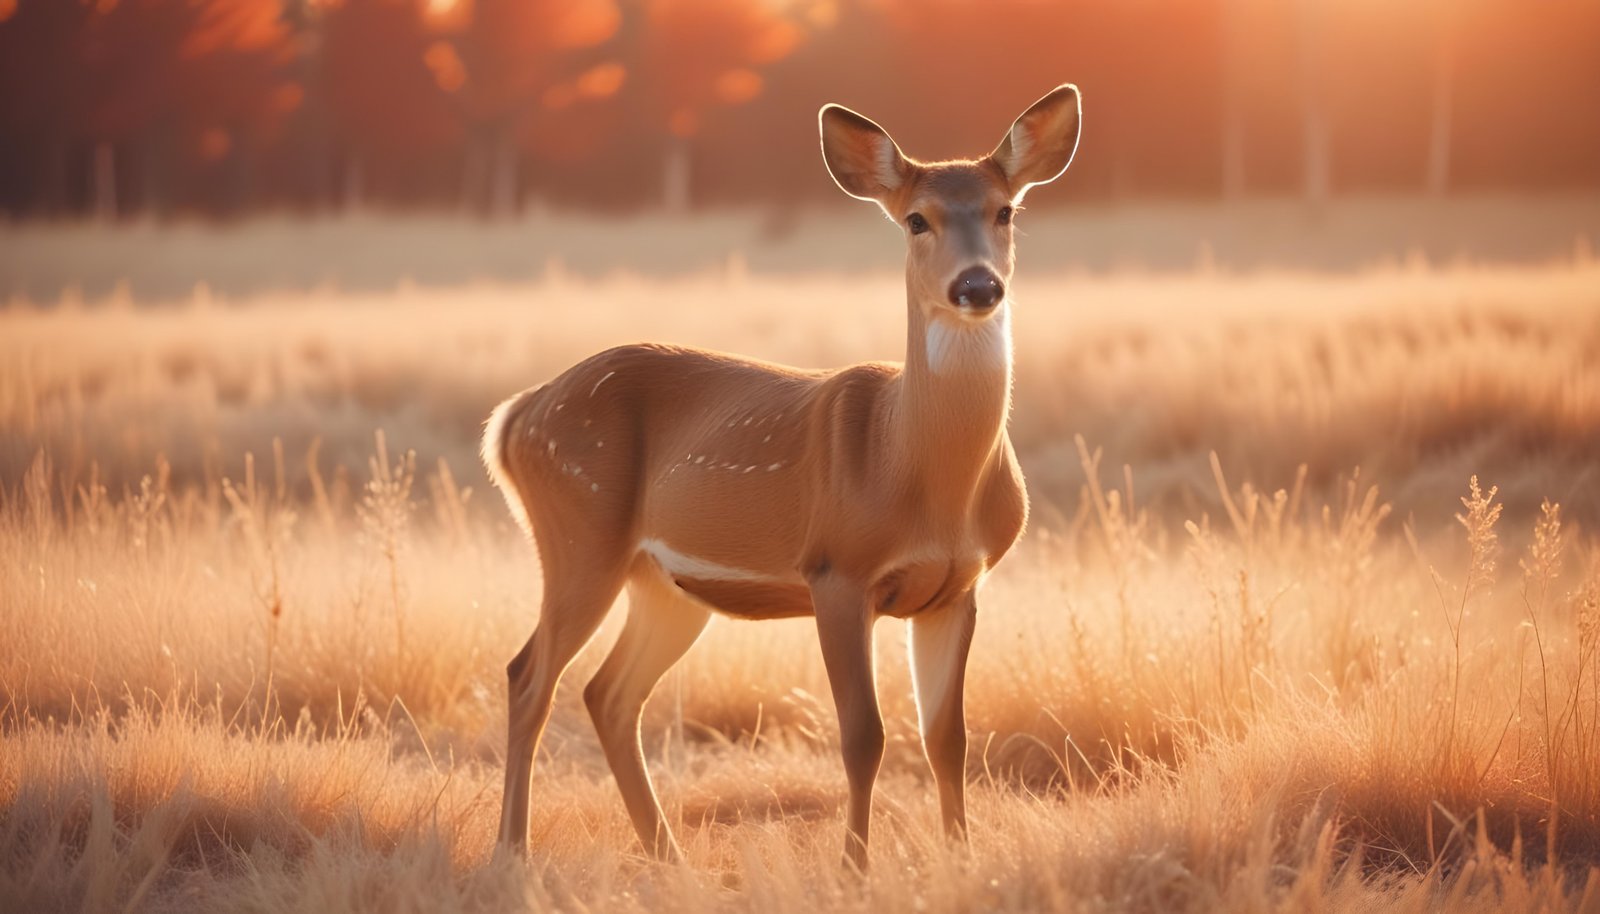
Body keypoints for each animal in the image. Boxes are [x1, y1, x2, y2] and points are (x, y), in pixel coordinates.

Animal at [482, 84, 1082, 870]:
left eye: (1005, 210)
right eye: (917, 219)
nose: (977, 285)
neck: (913, 466)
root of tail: (514, 417)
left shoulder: (958, 587)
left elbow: (947, 737)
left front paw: (962, 859)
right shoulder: (837, 569)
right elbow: (863, 736)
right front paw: (854, 867)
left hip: (666, 582)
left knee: (608, 694)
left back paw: (668, 855)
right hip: (579, 531)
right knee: (529, 675)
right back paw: (511, 852)